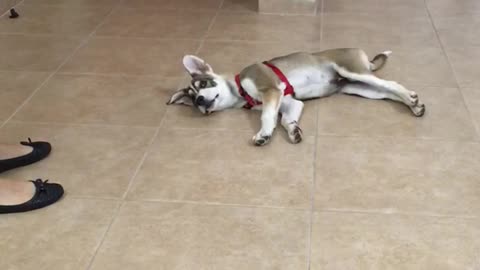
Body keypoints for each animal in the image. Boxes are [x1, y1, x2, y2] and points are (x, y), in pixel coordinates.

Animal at [167, 48, 426, 146]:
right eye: (192, 101)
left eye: (202, 84)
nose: (200, 101)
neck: (240, 89)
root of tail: (362, 54)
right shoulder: (290, 102)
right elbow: (284, 119)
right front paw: (293, 130)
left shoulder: (271, 90)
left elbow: (267, 117)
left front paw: (263, 134)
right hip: (361, 88)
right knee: (388, 92)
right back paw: (414, 103)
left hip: (354, 72)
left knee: (391, 84)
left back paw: (412, 100)